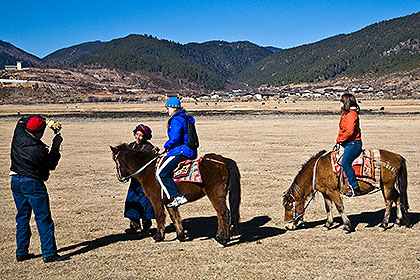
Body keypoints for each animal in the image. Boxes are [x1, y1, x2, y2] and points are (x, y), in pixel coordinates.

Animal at [109, 144, 240, 245]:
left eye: (116, 161)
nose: (119, 178)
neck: (147, 169)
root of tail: (223, 161)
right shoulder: (170, 202)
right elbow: (175, 217)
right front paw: (180, 236)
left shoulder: (156, 200)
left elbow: (159, 216)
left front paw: (158, 237)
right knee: (220, 215)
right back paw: (219, 237)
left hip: (215, 194)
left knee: (224, 213)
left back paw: (223, 240)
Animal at [282, 150, 410, 233]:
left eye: (289, 206)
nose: (288, 226)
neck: (316, 170)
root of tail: (398, 157)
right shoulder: (325, 192)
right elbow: (328, 207)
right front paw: (327, 225)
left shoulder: (333, 191)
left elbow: (339, 207)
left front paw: (347, 227)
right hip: (389, 186)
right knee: (398, 198)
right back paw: (398, 221)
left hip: (387, 186)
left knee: (388, 202)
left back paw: (383, 225)